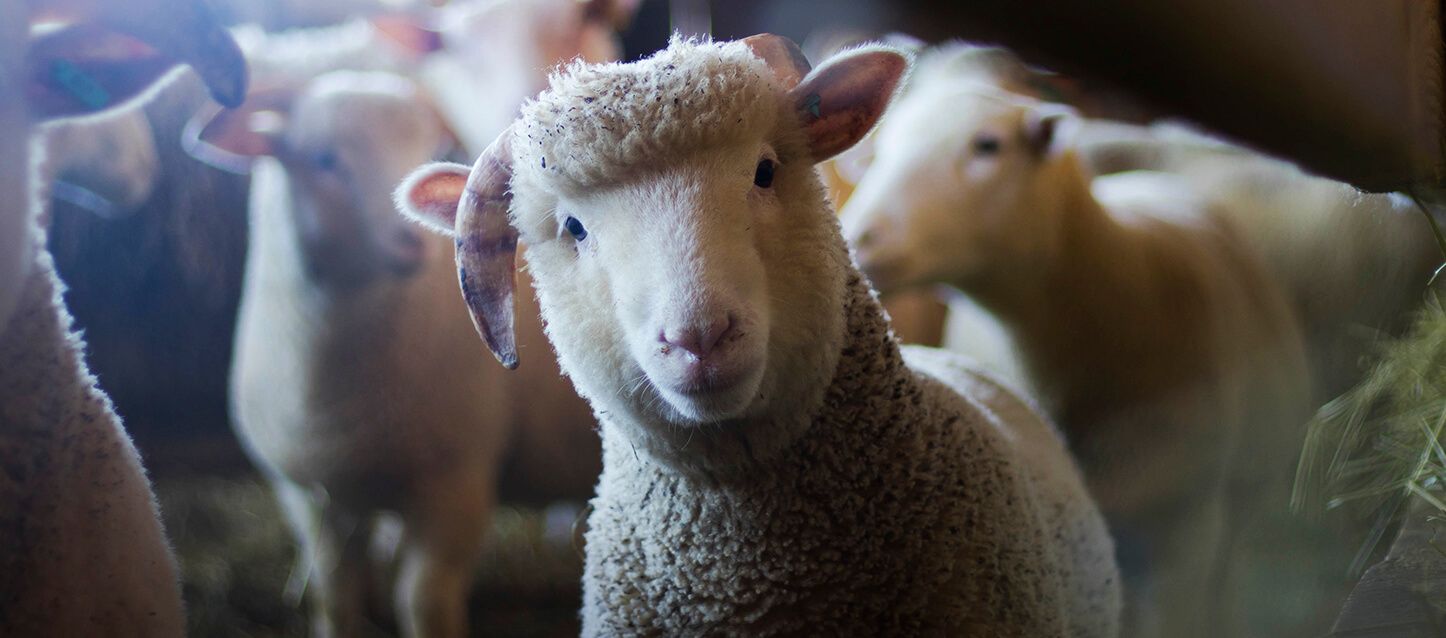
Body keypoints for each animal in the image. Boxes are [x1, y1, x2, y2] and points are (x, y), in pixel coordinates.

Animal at [192, 69, 597, 638]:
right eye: (324, 159)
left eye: (428, 149)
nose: (412, 241)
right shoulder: (310, 497)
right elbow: (333, 597)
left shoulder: (456, 484)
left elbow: (423, 601)